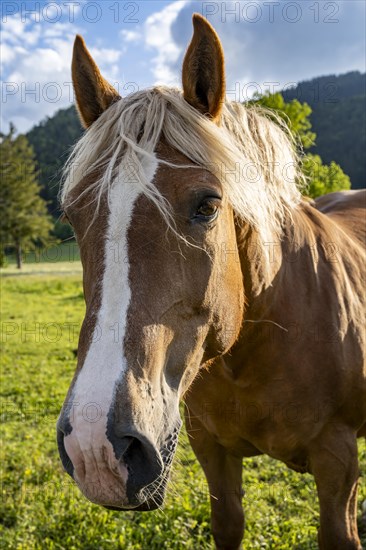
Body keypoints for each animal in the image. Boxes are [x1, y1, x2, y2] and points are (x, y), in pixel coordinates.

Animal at [57, 14, 366, 550]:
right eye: (73, 216)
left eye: (207, 205)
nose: (96, 447)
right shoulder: (211, 451)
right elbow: (228, 525)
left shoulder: (338, 463)